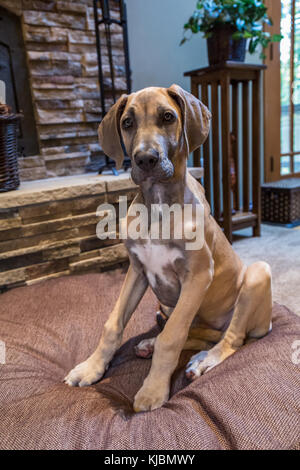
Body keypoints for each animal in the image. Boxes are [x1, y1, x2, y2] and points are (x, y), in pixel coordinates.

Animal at [64, 84, 274, 412]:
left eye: (167, 117)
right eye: (127, 123)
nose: (145, 159)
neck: (159, 206)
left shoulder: (198, 276)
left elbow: (172, 337)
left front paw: (152, 390)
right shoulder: (137, 270)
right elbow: (114, 324)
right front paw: (91, 368)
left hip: (257, 274)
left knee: (230, 339)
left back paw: (203, 361)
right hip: (165, 307)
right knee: (194, 332)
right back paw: (151, 345)